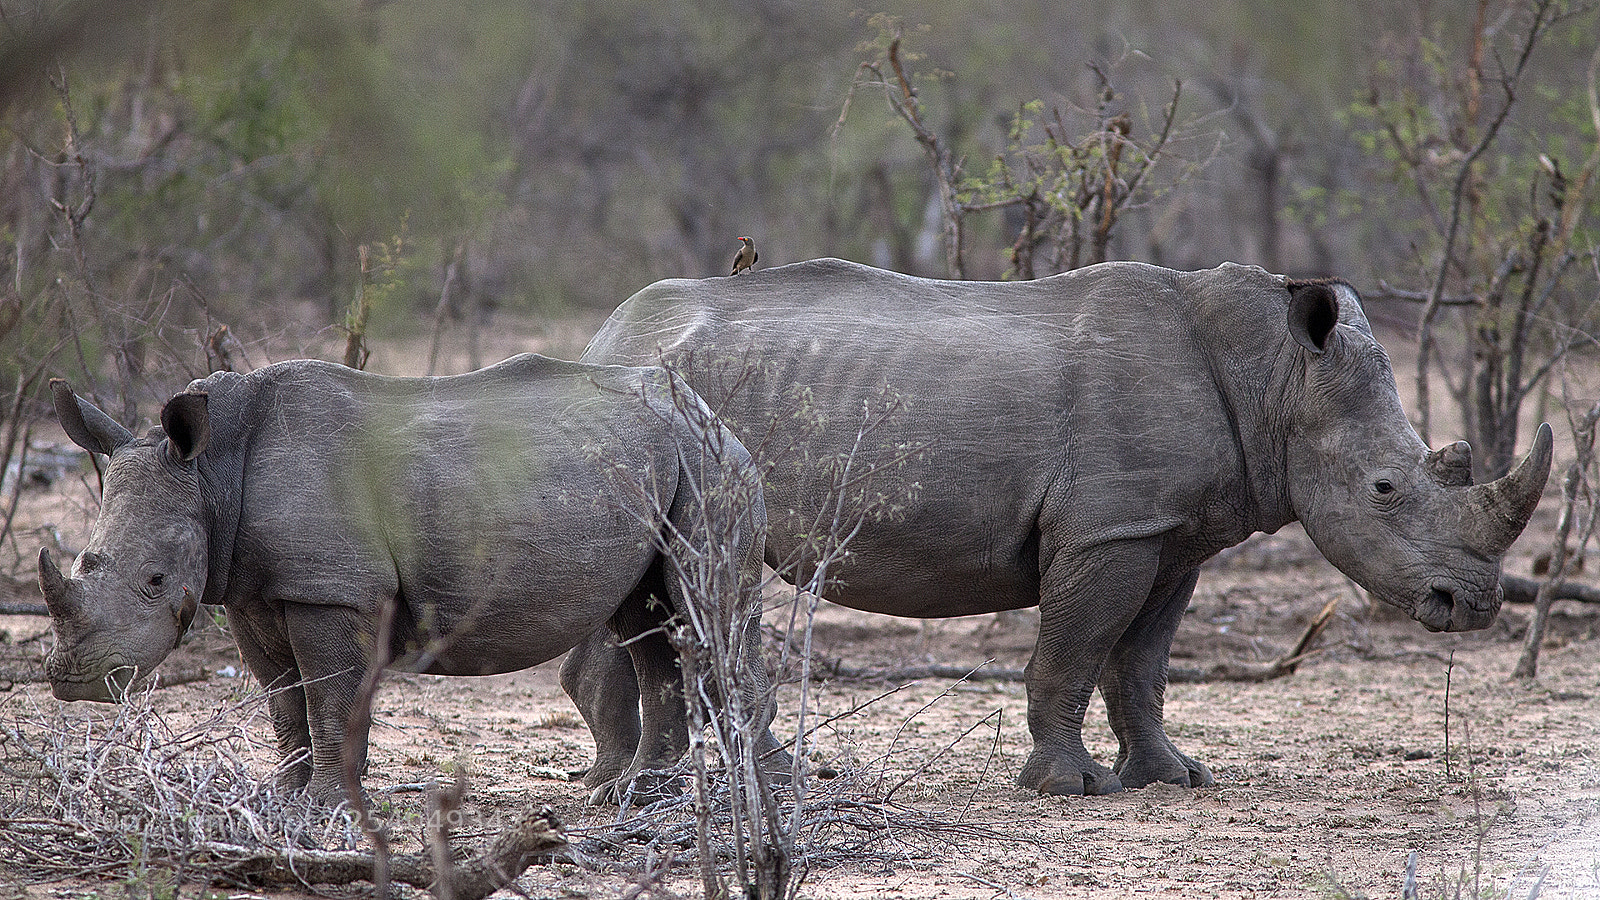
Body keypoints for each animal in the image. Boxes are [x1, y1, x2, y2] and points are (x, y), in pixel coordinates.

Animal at [39, 354, 779, 802]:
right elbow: (283, 699)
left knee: (706, 615)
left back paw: (760, 791)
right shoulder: (251, 590)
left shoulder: (329, 590)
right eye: (82, 562)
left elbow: (327, 698)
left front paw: (327, 805)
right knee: (649, 622)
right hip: (657, 464)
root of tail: (703, 410)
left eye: (156, 580)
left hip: (708, 467)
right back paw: (630, 794)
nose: (75, 681)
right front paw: (285, 800)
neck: (214, 470)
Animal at [567, 258, 1553, 796]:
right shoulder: (1110, 530)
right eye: (1385, 487)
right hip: (674, 413)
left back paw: (622, 782)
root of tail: (606, 337)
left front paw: (1172, 777)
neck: (1276, 374)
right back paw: (742, 782)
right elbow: (1076, 650)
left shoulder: (1171, 534)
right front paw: (1071, 787)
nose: (1472, 605)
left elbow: (1142, 664)